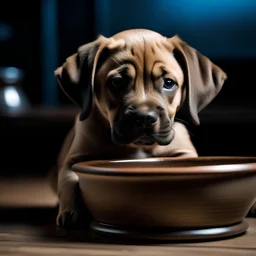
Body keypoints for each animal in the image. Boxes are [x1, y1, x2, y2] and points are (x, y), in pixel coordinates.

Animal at [53, 29, 227, 227]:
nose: (144, 118)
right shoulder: (74, 159)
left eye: (169, 83)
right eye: (117, 82)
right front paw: (71, 212)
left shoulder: (184, 153)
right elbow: (69, 181)